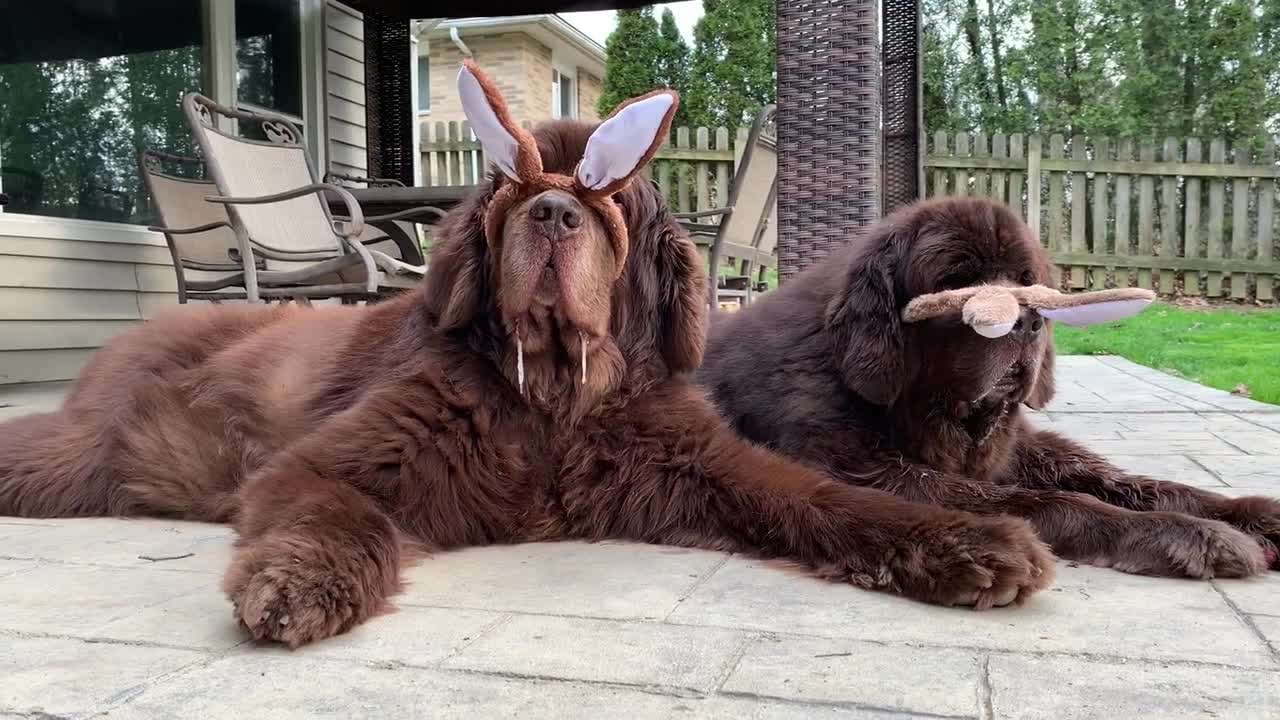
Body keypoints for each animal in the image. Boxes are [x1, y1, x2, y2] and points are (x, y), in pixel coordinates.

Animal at [0, 63, 1059, 645]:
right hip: (83, 458)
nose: (552, 212)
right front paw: (297, 586)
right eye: (515, 185)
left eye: (606, 190)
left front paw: (972, 545)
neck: (553, 403)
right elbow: (335, 514)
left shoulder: (694, 463)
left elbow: (825, 498)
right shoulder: (329, 461)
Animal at [701, 194, 1280, 576]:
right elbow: (1044, 502)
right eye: (955, 283)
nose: (1026, 322)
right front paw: (1186, 533)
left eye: (1028, 282)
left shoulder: (1019, 447)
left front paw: (1243, 514)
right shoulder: (865, 470)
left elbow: (1131, 481)